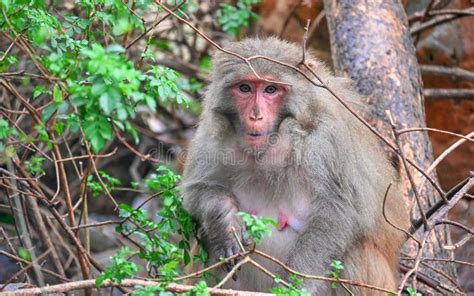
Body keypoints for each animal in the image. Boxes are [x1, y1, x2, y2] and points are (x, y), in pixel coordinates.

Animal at [181, 38, 408, 294]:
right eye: (245, 88)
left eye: (270, 89)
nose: (255, 116)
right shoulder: (211, 135)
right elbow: (196, 190)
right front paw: (226, 225)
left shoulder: (325, 140)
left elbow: (338, 212)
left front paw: (292, 286)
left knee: (354, 253)